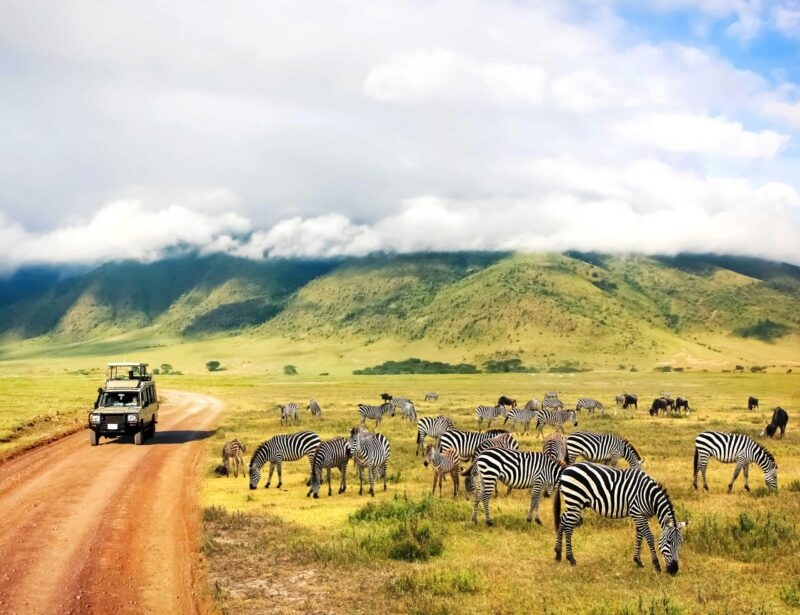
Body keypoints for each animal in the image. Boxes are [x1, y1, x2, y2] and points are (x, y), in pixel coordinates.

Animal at [554, 462, 686, 574]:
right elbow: (648, 537)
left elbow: (639, 536)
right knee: (568, 527)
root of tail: (566, 470)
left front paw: (638, 560)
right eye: (669, 542)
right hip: (574, 500)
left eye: (680, 542)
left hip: (575, 503)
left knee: (563, 520)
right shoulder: (637, 513)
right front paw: (656, 564)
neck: (649, 496)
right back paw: (571, 558)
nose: (674, 570)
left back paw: (558, 553)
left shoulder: (642, 515)